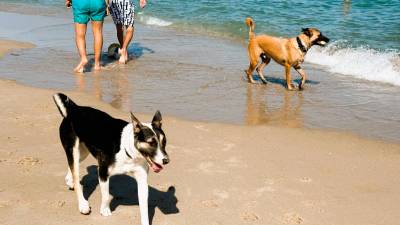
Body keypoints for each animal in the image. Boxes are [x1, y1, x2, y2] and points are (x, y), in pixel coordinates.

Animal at [52, 92, 169, 224]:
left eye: (164, 142)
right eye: (151, 143)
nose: (166, 160)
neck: (127, 150)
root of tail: (74, 109)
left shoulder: (142, 180)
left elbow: (144, 208)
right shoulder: (103, 172)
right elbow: (106, 196)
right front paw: (105, 210)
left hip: (83, 152)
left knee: (72, 165)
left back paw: (69, 180)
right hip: (74, 150)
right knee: (76, 176)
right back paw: (83, 204)